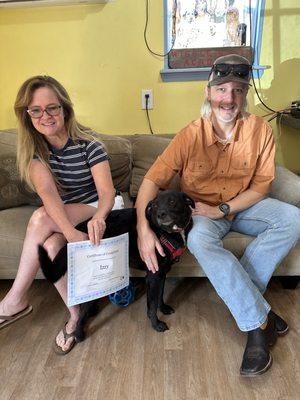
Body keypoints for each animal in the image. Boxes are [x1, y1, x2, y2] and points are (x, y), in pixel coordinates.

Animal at [38, 192, 195, 340]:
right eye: (155, 205)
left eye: (172, 201)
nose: (160, 214)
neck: (163, 233)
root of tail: (78, 229)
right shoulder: (153, 276)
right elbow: (152, 304)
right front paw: (156, 324)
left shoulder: (162, 273)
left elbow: (160, 295)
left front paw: (163, 308)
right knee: (82, 308)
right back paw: (78, 333)